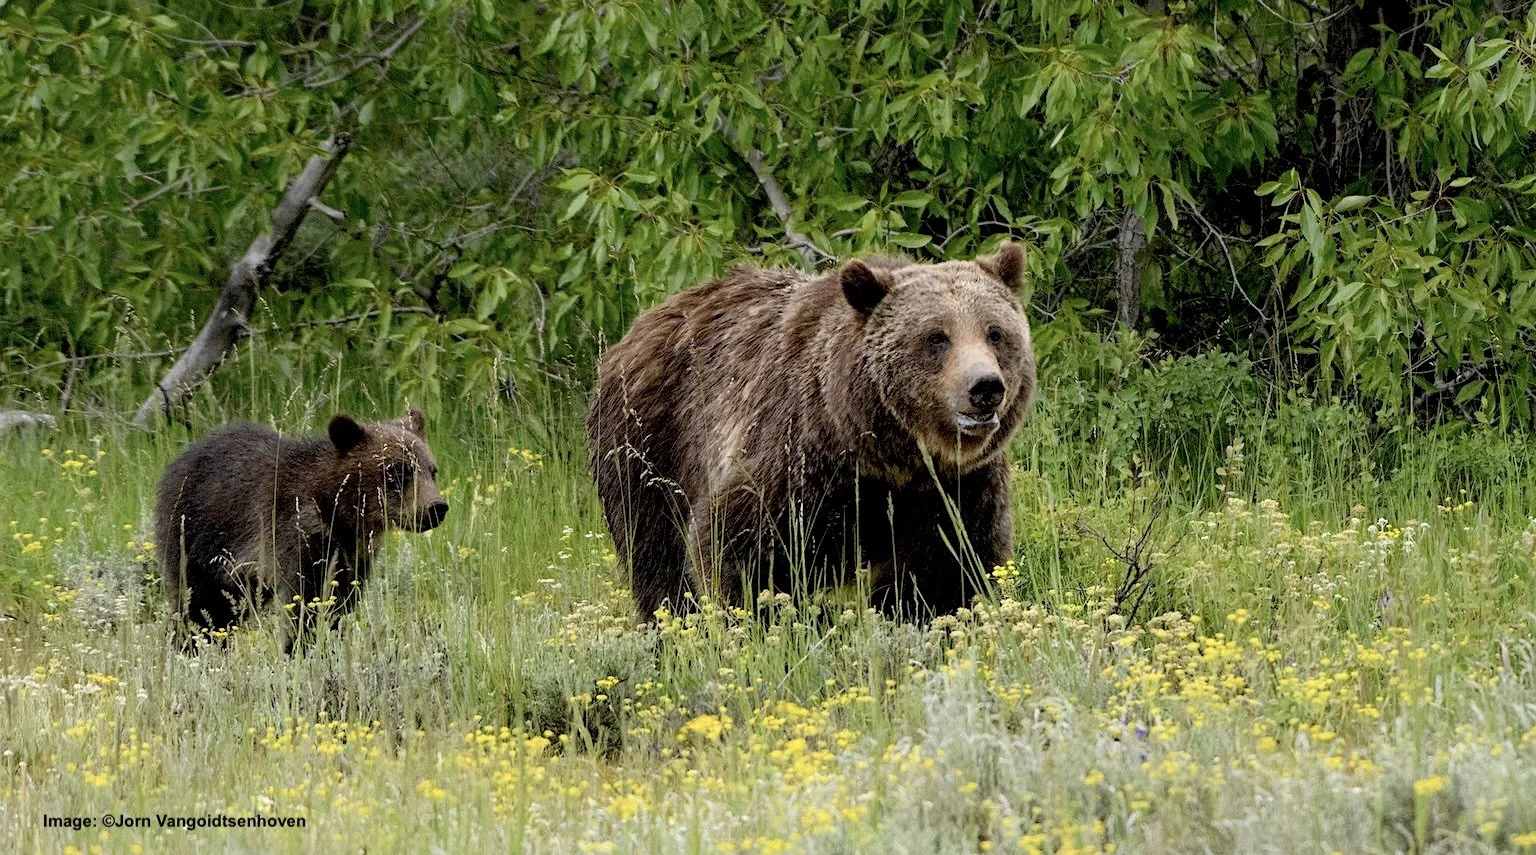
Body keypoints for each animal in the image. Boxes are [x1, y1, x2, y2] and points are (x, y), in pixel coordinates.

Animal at [155, 408, 448, 651]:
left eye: (432, 470)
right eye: (397, 472)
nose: (436, 507)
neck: (336, 510)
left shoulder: (351, 554)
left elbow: (341, 601)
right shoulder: (296, 536)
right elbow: (306, 600)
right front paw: (299, 647)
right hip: (198, 538)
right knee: (197, 602)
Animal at [587, 242, 1035, 622]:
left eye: (995, 332)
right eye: (936, 337)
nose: (985, 388)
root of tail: (641, 323)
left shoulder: (955, 491)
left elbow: (947, 572)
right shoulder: (796, 460)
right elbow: (742, 549)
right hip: (650, 447)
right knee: (655, 556)